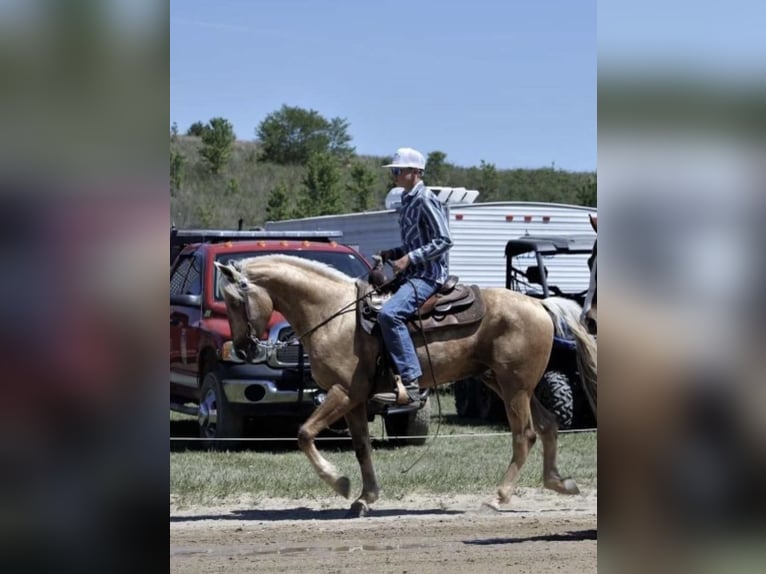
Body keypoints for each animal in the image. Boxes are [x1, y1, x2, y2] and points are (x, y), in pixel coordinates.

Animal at [216, 256, 600, 516]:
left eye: (234, 301)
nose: (244, 349)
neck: (332, 314)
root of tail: (540, 302)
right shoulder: (355, 401)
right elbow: (361, 448)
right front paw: (365, 498)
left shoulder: (343, 392)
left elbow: (304, 434)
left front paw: (340, 483)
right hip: (505, 383)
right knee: (549, 425)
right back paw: (559, 482)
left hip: (515, 386)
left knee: (526, 434)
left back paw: (499, 496)